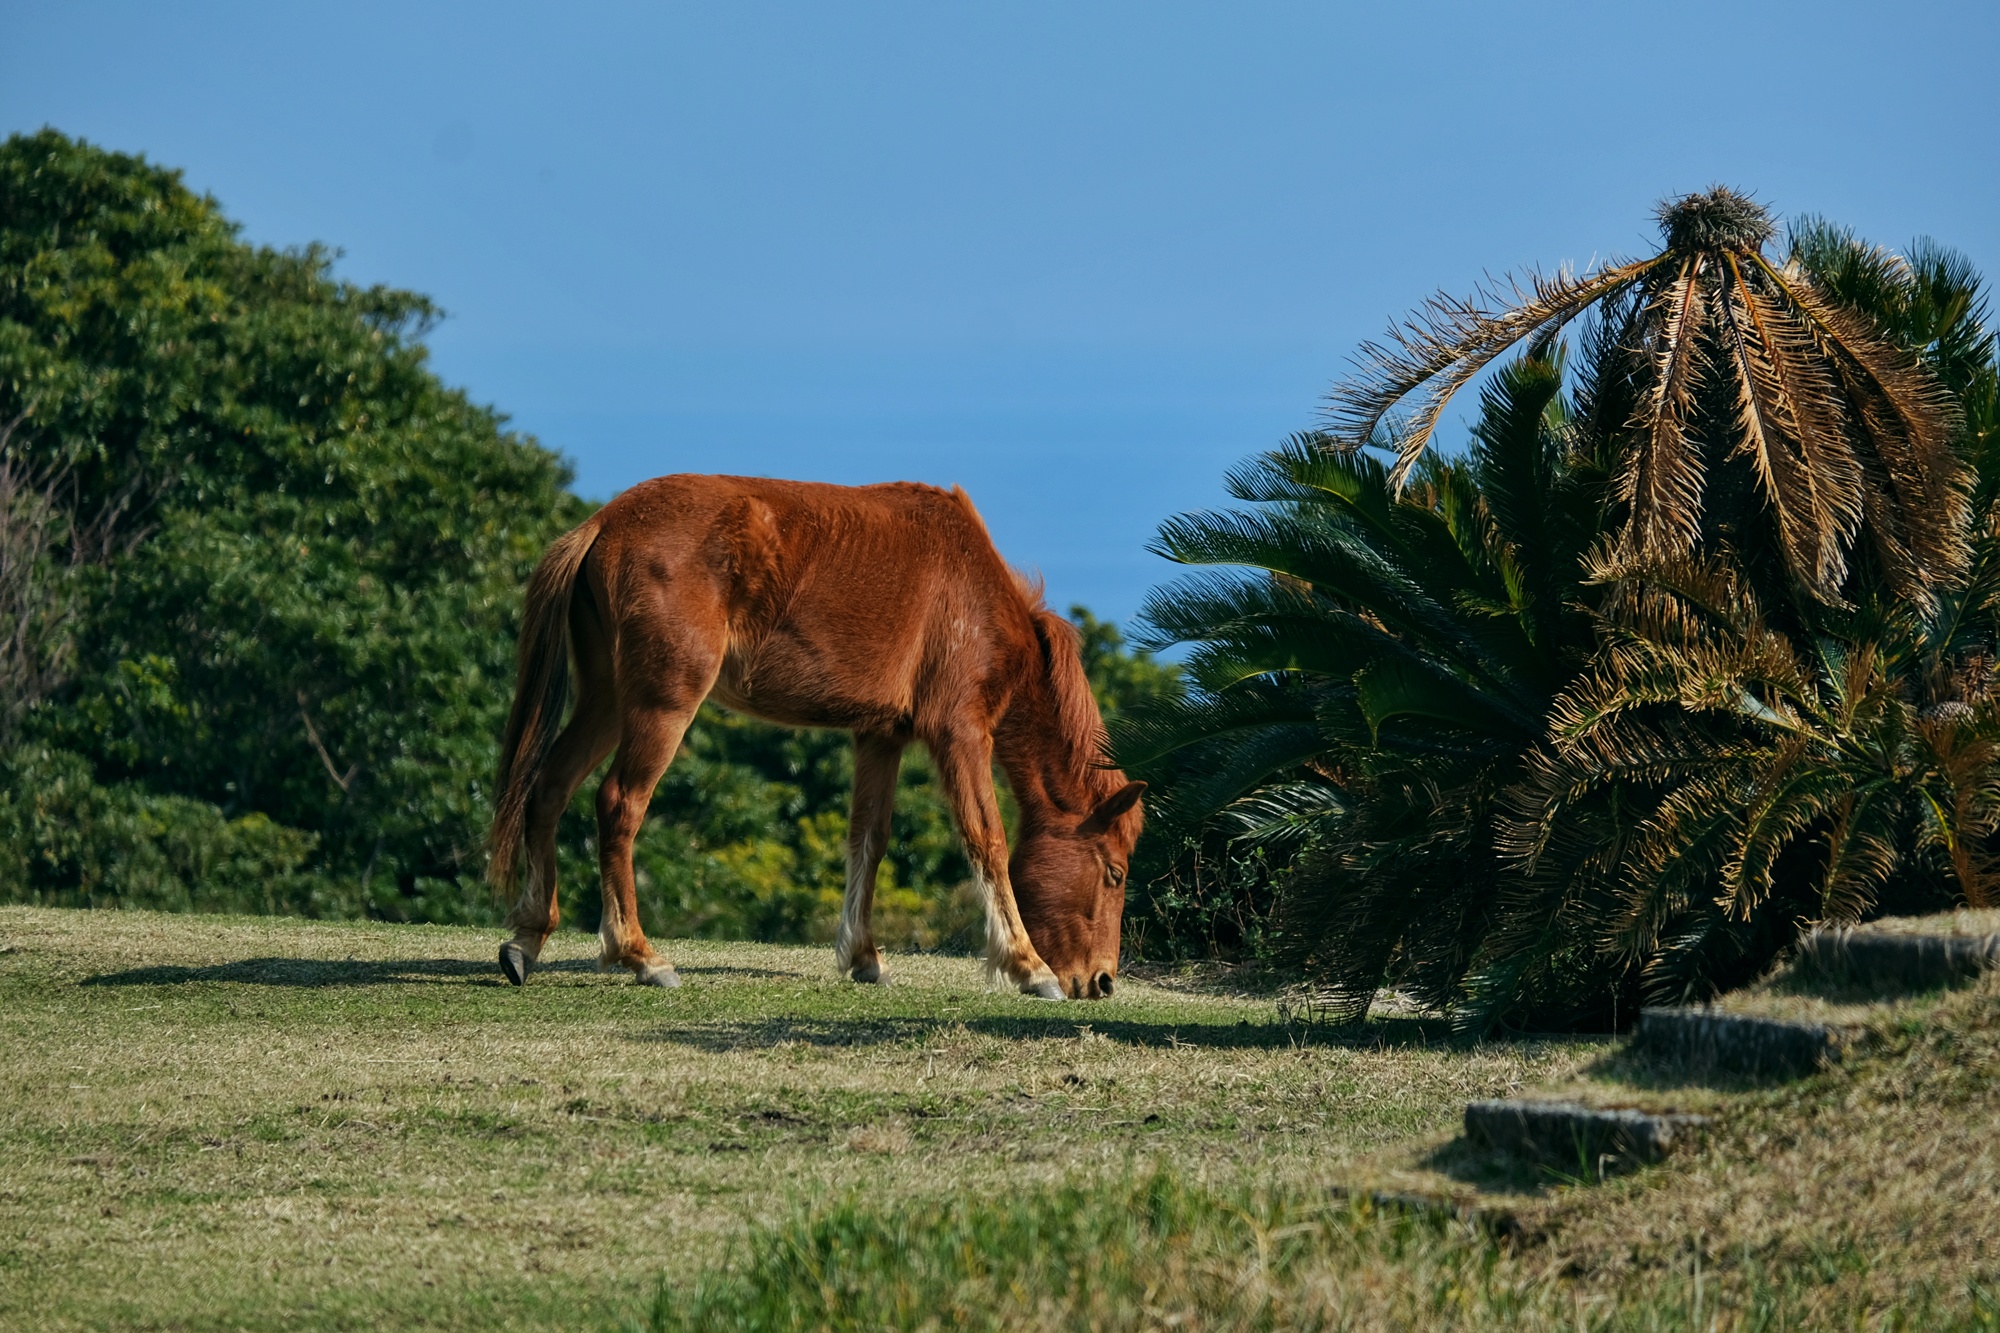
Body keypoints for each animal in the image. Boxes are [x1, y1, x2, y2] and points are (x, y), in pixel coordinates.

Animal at [486, 474, 1146, 1000]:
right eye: (1114, 873)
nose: (1103, 981)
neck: (975, 595)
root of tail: (604, 523)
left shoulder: (880, 737)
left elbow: (868, 841)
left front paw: (863, 956)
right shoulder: (960, 734)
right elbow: (987, 841)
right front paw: (1028, 967)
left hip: (606, 702)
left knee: (550, 787)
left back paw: (527, 939)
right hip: (661, 706)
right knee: (619, 804)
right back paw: (640, 955)